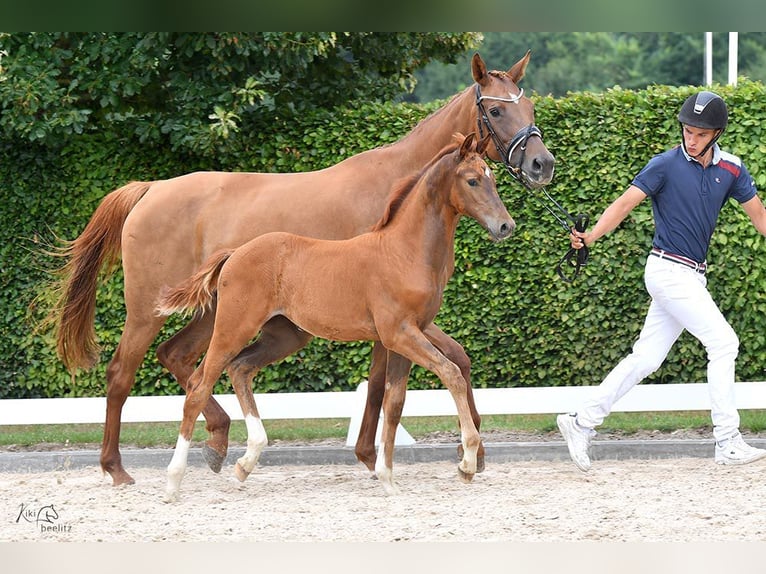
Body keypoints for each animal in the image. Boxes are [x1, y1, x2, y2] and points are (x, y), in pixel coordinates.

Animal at [156, 134, 516, 500]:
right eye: (472, 180)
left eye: (493, 178)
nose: (506, 226)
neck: (403, 252)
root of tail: (234, 254)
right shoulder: (400, 333)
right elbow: (451, 373)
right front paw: (467, 462)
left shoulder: (406, 337)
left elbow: (395, 402)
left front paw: (388, 477)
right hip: (233, 327)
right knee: (199, 386)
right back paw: (173, 481)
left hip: (284, 336)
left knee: (240, 368)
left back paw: (246, 461)